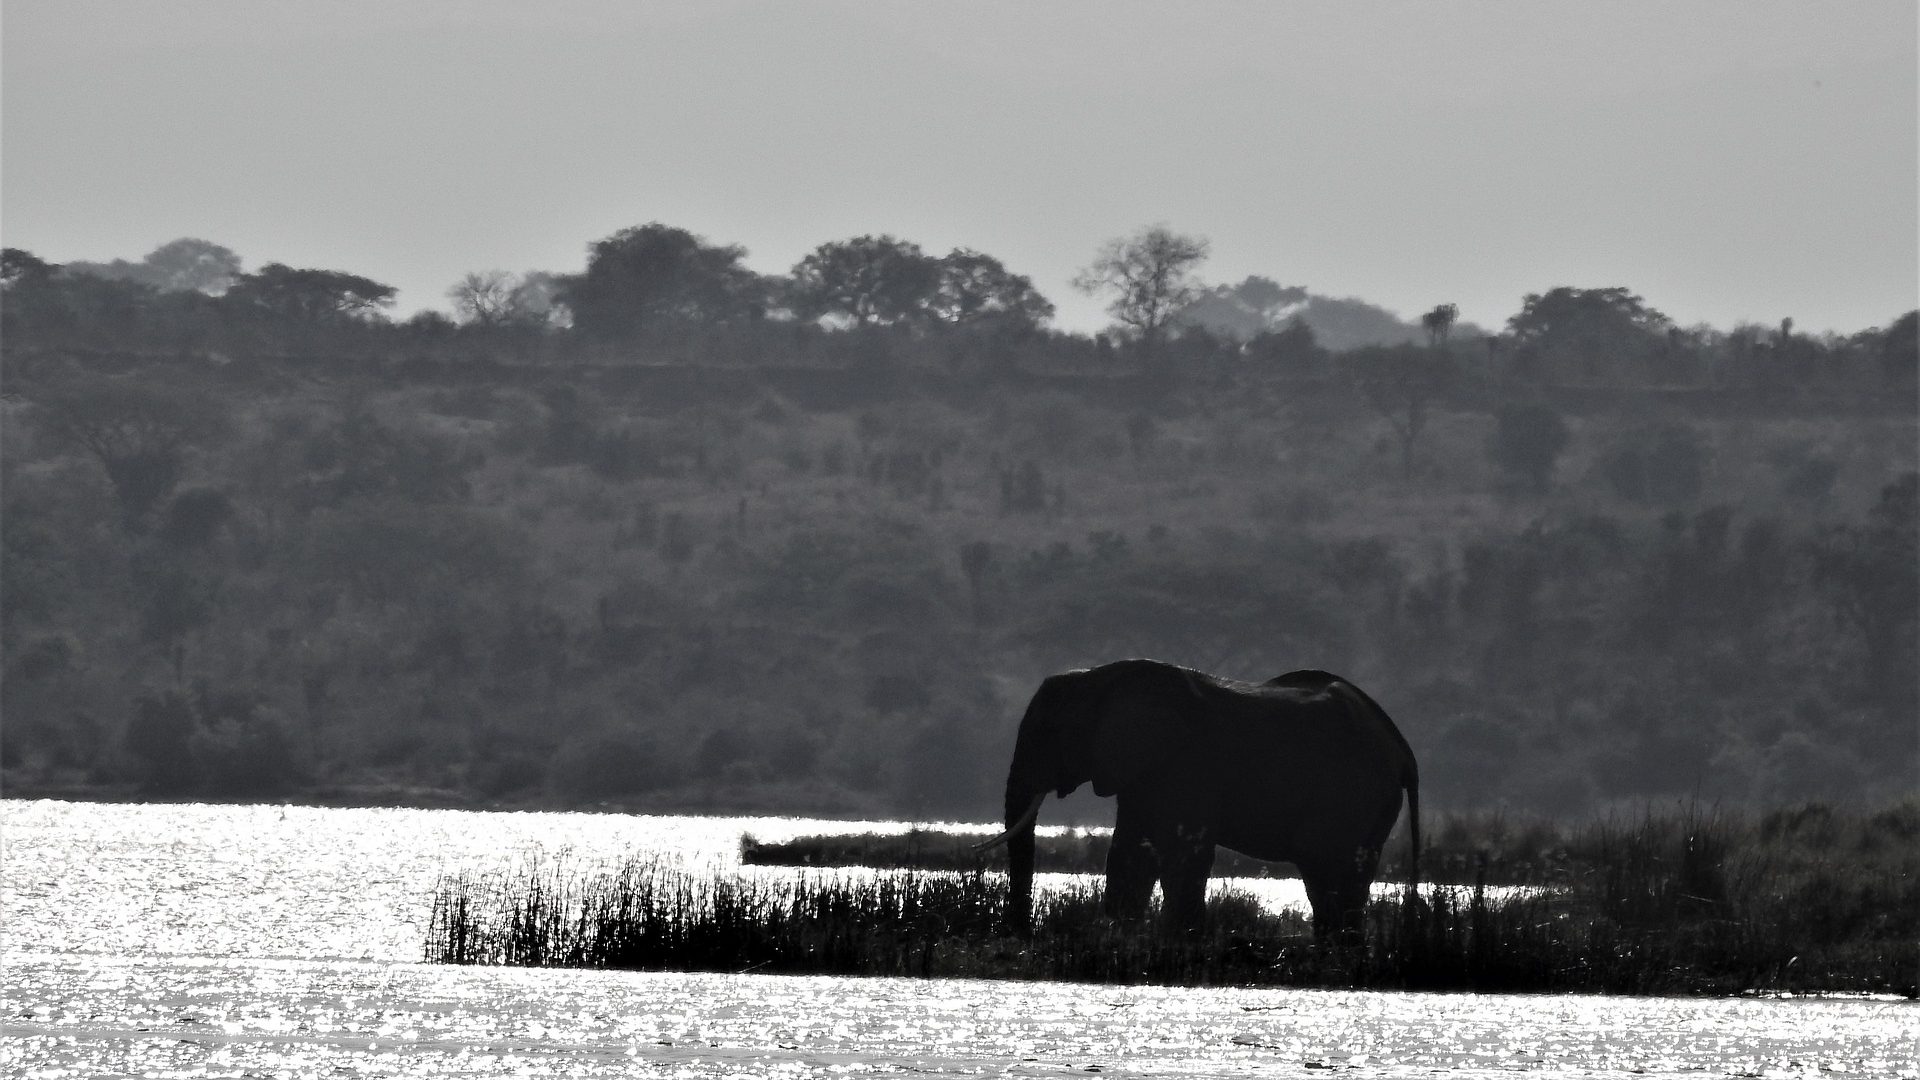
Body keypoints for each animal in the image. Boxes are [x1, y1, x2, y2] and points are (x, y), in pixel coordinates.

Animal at [977, 659, 1419, 940]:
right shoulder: (1141, 772)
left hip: (1352, 792)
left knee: (1324, 867)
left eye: (1048, 731)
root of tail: (1401, 746)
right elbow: (1131, 852)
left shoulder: (1184, 766)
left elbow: (1183, 853)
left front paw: (1180, 940)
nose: (1019, 934)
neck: (1100, 677)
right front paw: (1119, 935)